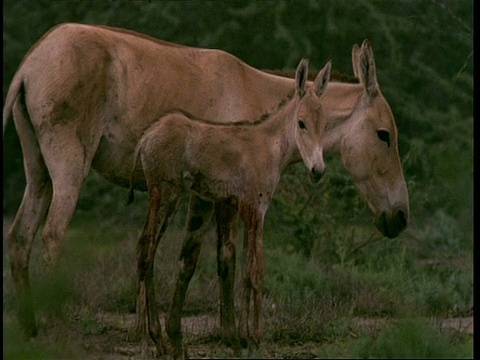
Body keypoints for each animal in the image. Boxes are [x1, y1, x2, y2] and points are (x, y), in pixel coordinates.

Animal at [127, 57, 330, 356]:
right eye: (301, 123)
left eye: (325, 124)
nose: (318, 171)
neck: (269, 147)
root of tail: (147, 136)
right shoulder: (256, 208)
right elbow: (257, 271)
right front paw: (257, 338)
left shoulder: (243, 208)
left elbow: (244, 270)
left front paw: (242, 338)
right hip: (166, 195)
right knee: (147, 251)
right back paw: (160, 339)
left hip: (164, 198)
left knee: (143, 247)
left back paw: (163, 341)